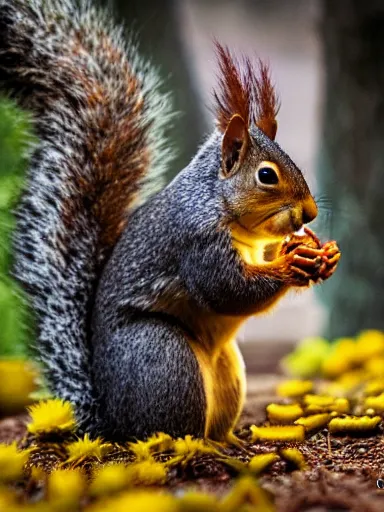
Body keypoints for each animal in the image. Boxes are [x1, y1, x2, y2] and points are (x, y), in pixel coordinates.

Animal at [0, 0, 342, 440]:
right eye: (267, 175)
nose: (311, 213)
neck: (219, 205)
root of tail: (111, 423)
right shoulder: (196, 241)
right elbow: (227, 290)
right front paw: (289, 263)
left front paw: (314, 252)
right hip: (165, 358)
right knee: (173, 433)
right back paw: (202, 448)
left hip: (228, 370)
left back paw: (230, 441)